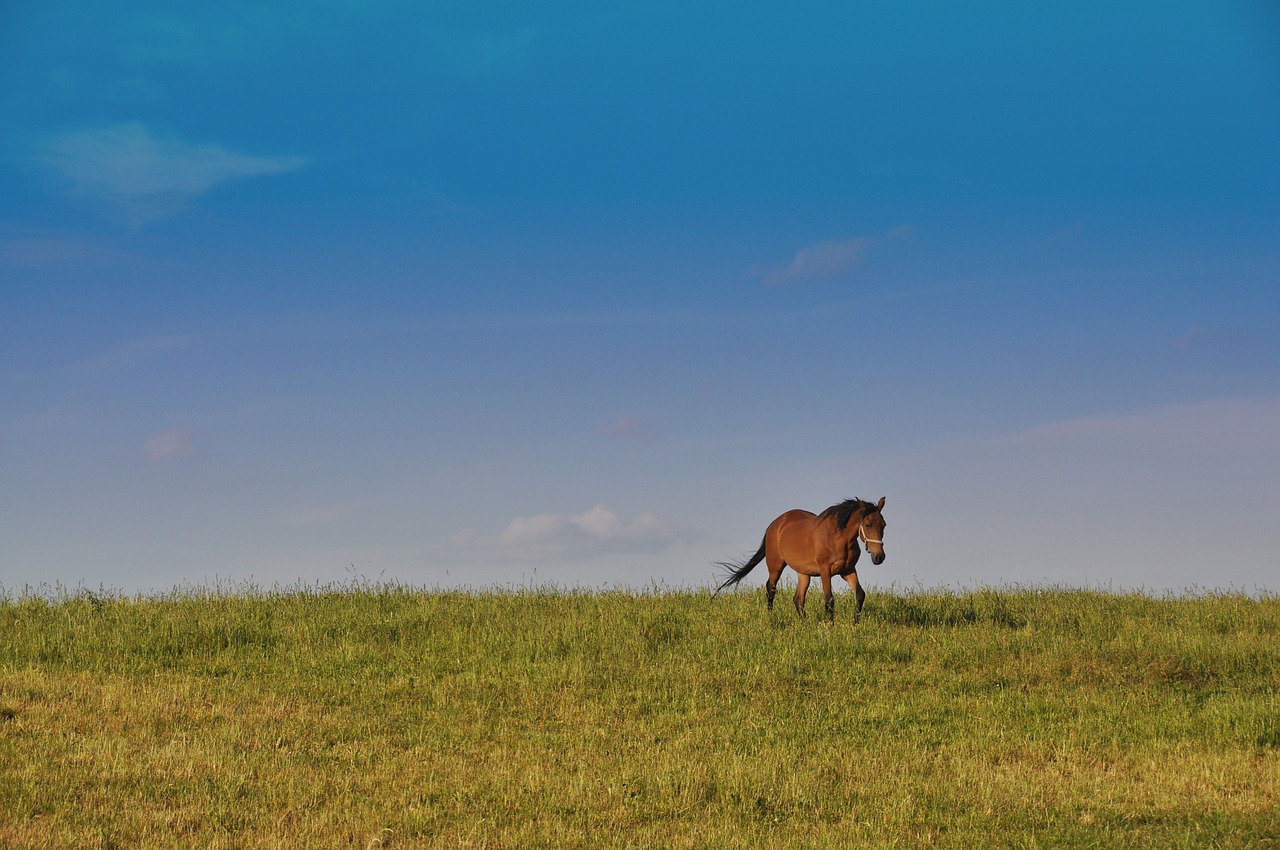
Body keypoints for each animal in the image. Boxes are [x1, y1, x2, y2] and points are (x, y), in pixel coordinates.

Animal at [716, 499, 885, 624]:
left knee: (798, 598)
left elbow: (860, 594)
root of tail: (774, 524)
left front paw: (856, 623)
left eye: (883, 525)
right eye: (867, 524)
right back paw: (770, 618)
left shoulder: (848, 570)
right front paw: (830, 627)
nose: (879, 557)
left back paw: (805, 623)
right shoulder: (825, 570)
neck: (838, 538)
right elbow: (829, 600)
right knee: (771, 589)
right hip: (775, 566)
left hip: (803, 573)